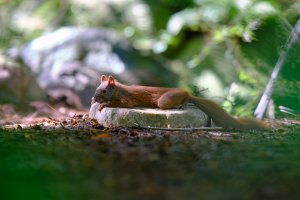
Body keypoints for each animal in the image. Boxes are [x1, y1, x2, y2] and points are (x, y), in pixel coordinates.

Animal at [92, 74, 270, 130]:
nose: (94, 98)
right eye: (96, 88)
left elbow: (121, 103)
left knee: (185, 96)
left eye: (104, 91)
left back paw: (182, 103)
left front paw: (103, 104)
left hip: (164, 100)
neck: (118, 89)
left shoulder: (127, 99)